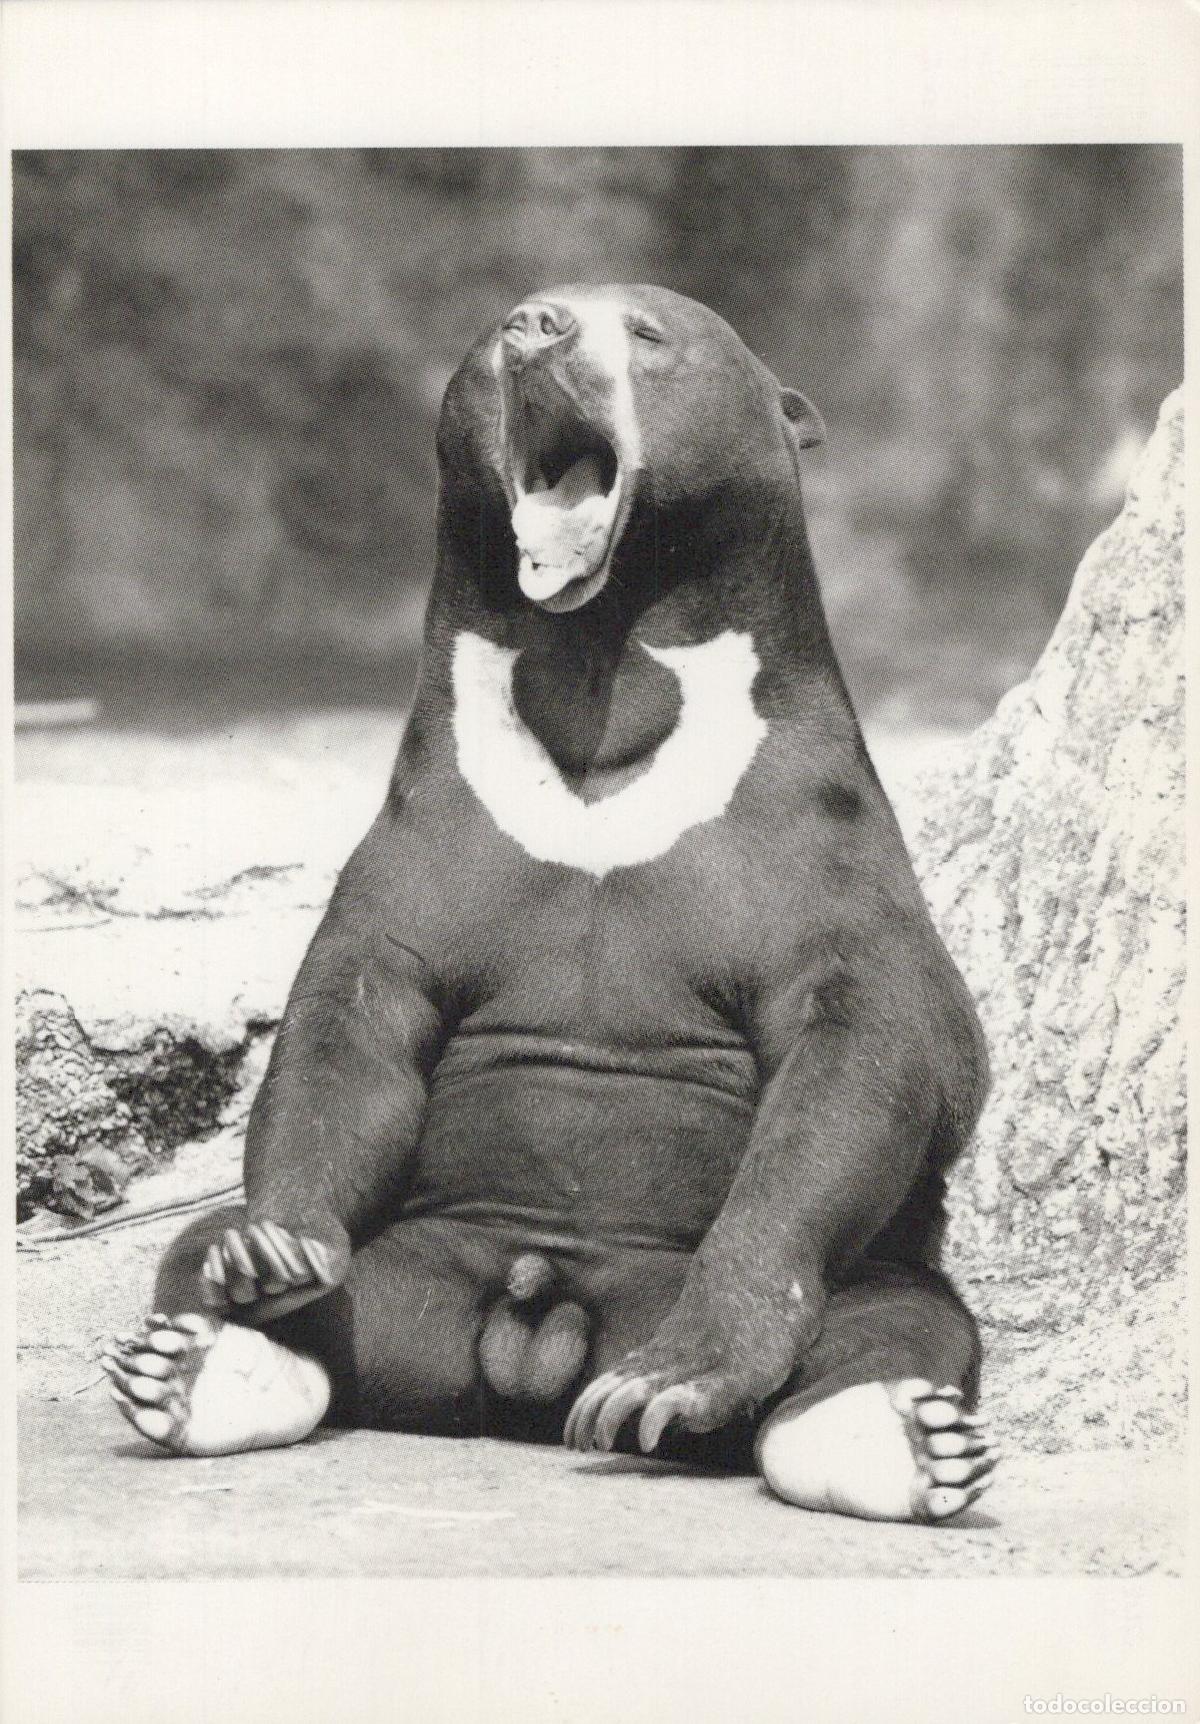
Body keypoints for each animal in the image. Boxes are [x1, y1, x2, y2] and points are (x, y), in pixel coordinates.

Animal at [103, 286, 996, 1523]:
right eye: (498, 333)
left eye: (652, 332)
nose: (542, 326)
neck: (600, 672)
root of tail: (538, 1339)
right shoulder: (429, 837)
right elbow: (353, 1025)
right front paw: (272, 1252)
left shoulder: (819, 849)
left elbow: (873, 1053)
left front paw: (680, 1375)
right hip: (416, 1258)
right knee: (217, 1258)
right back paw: (199, 1350)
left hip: (823, 1277)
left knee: (894, 1318)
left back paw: (877, 1431)